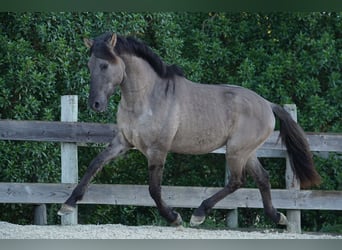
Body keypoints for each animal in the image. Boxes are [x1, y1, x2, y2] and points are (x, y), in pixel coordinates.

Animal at [57, 31, 322, 227]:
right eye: (89, 65)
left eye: (104, 65)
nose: (95, 104)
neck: (146, 97)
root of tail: (267, 104)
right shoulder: (123, 142)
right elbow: (94, 165)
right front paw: (67, 204)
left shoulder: (157, 150)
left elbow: (154, 189)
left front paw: (174, 217)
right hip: (246, 152)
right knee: (262, 179)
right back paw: (278, 217)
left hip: (236, 151)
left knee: (237, 181)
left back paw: (199, 214)